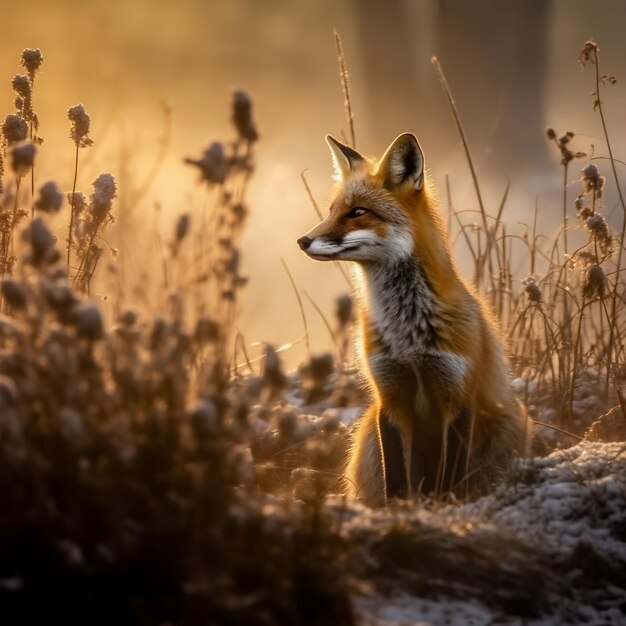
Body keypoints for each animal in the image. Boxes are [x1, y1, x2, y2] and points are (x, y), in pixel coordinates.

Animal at [296, 133, 528, 508]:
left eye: (358, 212)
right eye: (331, 211)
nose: (302, 240)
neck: (409, 336)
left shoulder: (458, 396)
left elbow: (450, 478)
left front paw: (446, 507)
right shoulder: (390, 397)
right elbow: (395, 478)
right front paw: (396, 512)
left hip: (511, 421)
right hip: (367, 429)